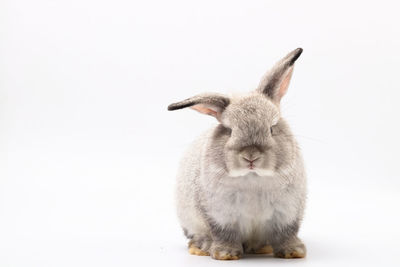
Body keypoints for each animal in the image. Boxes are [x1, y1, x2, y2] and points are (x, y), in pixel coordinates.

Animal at [167, 48, 308, 262]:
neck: (253, 178)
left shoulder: (287, 214)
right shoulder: (220, 216)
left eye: (272, 128)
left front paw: (294, 252)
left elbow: (286, 234)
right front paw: (225, 254)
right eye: (230, 131)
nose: (251, 156)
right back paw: (202, 247)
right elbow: (224, 235)